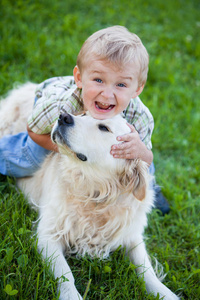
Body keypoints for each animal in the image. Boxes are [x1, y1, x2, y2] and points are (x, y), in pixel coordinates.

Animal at [0, 83, 178, 298]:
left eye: (104, 127)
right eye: (83, 114)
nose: (63, 117)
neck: (96, 194)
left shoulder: (132, 236)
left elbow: (147, 270)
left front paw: (165, 293)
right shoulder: (48, 233)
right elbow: (64, 272)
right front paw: (70, 294)